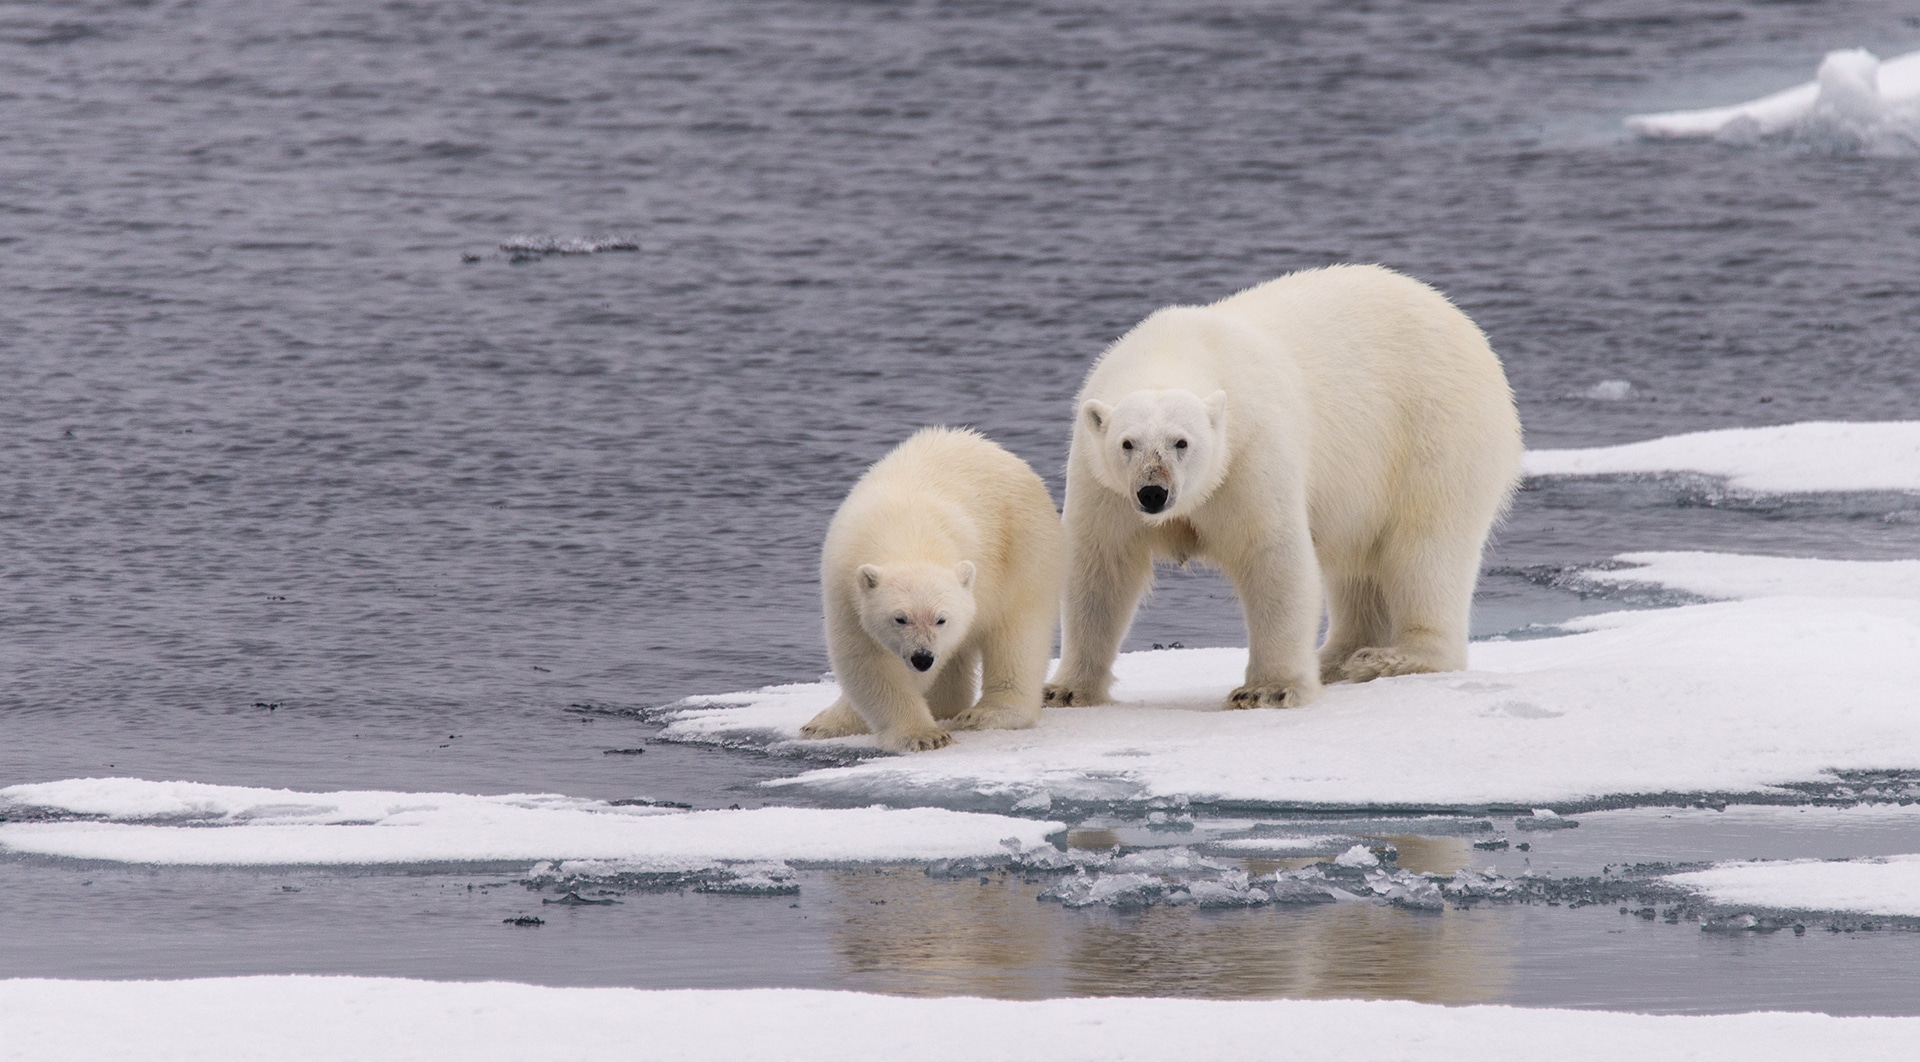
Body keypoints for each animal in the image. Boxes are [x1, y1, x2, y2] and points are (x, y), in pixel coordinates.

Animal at [798, 426, 1067, 748]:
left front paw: (925, 736)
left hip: (1026, 551)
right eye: (900, 618)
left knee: (1018, 633)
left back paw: (984, 713)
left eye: (941, 619)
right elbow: (867, 659)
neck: (906, 532)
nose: (922, 658)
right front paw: (923, 734)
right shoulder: (845, 585)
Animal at [1044, 265, 1520, 710]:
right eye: (1127, 443)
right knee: (1358, 566)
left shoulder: (1249, 455)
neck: (1175, 347)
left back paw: (1392, 657)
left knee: (1424, 547)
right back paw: (1337, 658)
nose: (1153, 493)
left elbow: (1272, 555)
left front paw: (1266, 690)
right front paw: (1064, 690)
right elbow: (1100, 568)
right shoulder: (1100, 479)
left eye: (1182, 441)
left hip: (1434, 431)